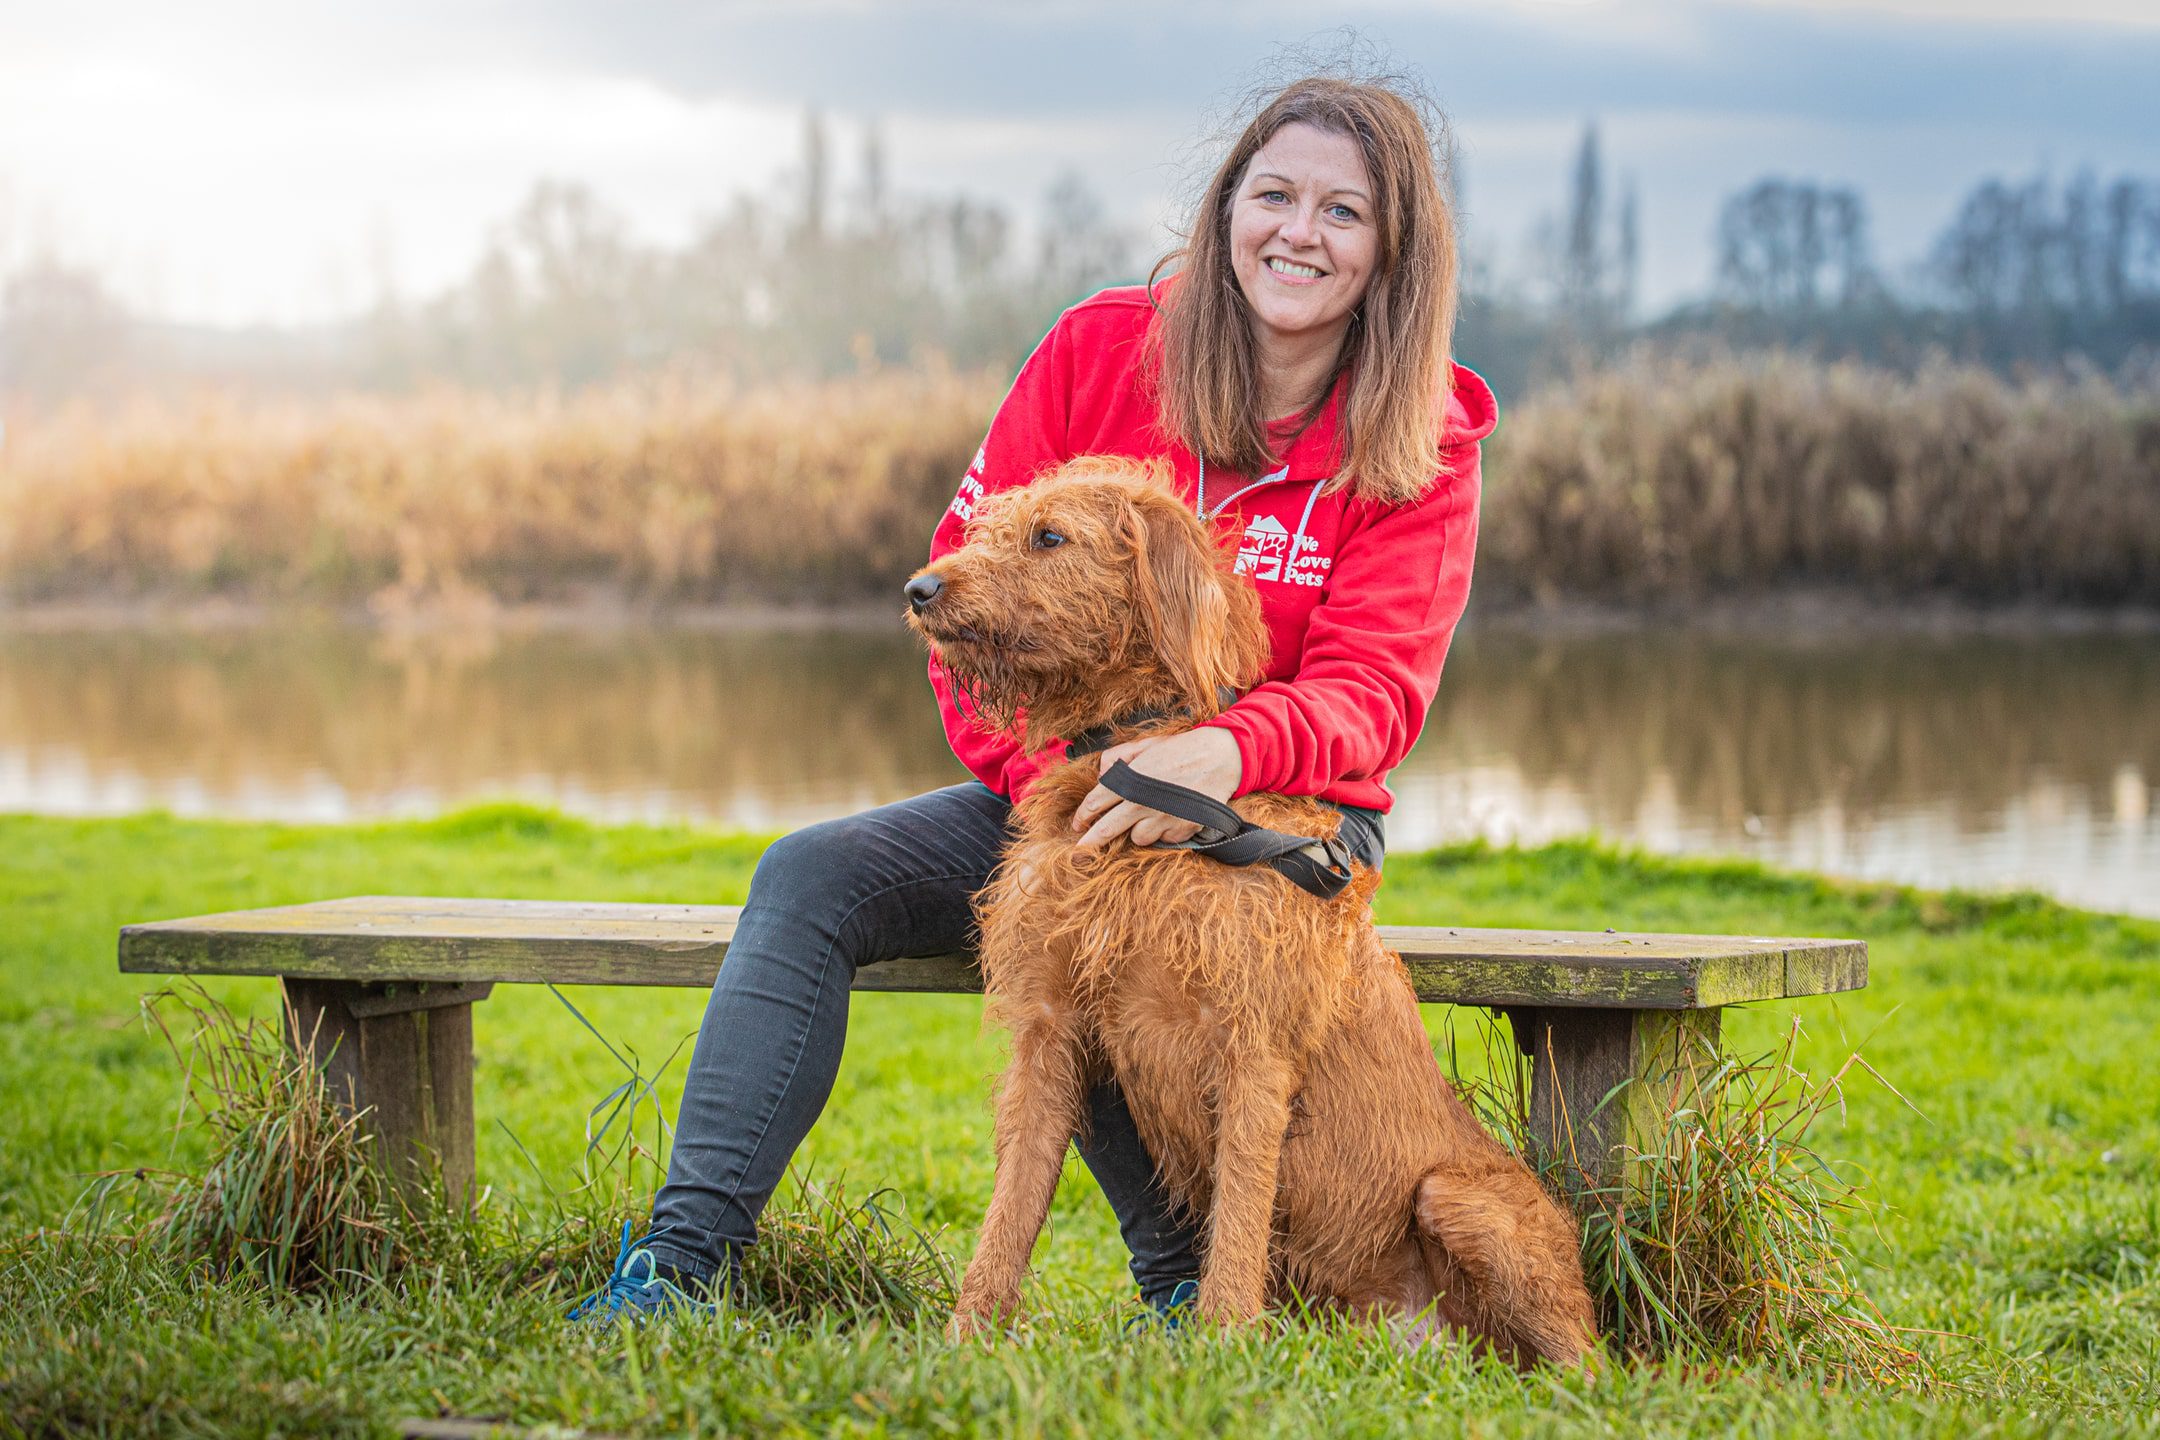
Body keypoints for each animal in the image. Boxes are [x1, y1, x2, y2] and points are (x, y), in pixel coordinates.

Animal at [902, 453, 1598, 1364]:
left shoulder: (1252, 1048)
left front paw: (1223, 1347)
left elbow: (1236, 1221)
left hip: (1457, 1197)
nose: (918, 587)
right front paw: (967, 1339)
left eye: (1050, 537)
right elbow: (1009, 1213)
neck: (1138, 757)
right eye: (988, 527)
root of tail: (1427, 1336)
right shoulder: (1052, 1030)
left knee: (1591, 1364)